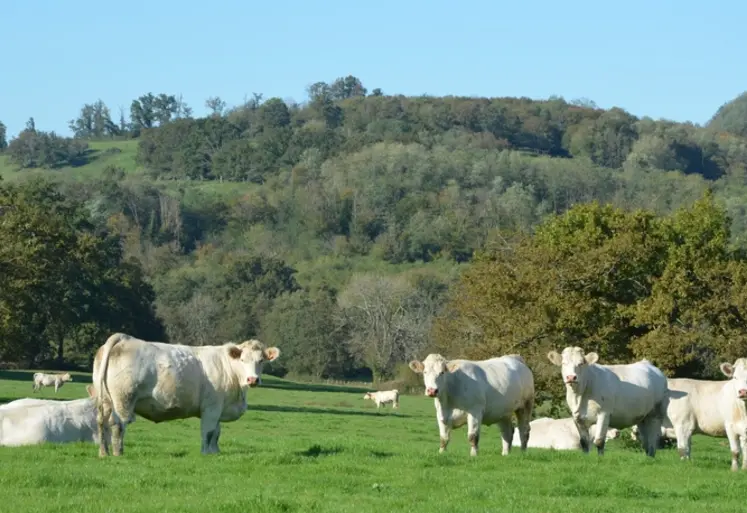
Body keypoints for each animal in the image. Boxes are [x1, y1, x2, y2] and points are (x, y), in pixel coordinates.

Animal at [93, 332, 280, 456]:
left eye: (261, 361)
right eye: (242, 360)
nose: (252, 379)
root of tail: (124, 338)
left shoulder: (218, 408)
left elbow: (217, 433)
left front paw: (215, 452)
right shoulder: (211, 408)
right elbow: (209, 432)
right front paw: (206, 453)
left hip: (105, 400)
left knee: (102, 422)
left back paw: (104, 452)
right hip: (123, 399)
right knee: (118, 425)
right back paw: (118, 453)